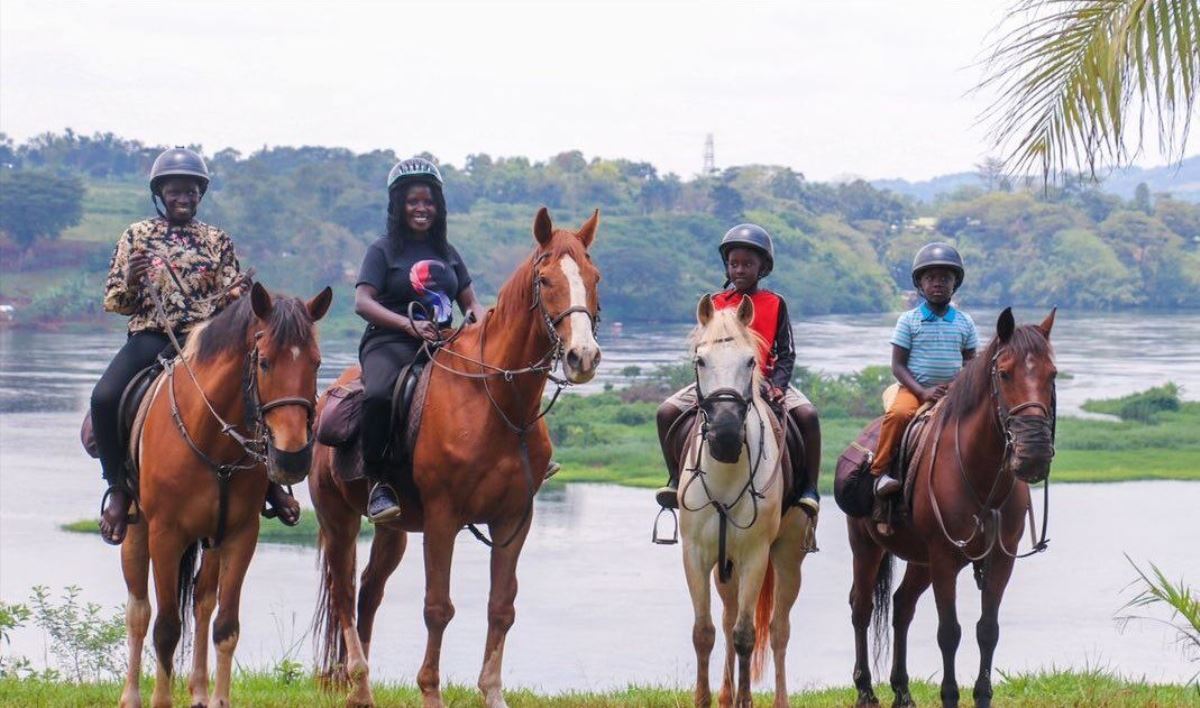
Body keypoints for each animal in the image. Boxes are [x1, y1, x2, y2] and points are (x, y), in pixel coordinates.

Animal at [118, 284, 333, 708]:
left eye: (316, 363)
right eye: (264, 362)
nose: (292, 456)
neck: (210, 440)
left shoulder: (240, 535)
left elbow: (225, 626)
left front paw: (217, 698)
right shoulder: (165, 535)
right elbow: (166, 627)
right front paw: (161, 700)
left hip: (212, 540)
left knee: (202, 604)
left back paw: (199, 691)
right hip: (138, 530)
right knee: (139, 610)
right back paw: (131, 696)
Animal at [312, 206, 600, 708]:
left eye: (594, 277)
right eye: (545, 280)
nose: (583, 357)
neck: (496, 403)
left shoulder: (513, 520)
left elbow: (501, 607)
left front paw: (493, 694)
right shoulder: (443, 518)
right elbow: (437, 608)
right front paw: (431, 692)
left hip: (393, 531)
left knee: (369, 591)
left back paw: (359, 688)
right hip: (338, 518)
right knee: (344, 592)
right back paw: (358, 680)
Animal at [676, 294, 816, 708]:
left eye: (751, 361)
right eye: (700, 361)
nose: (724, 435)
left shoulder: (756, 555)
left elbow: (746, 634)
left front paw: (746, 700)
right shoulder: (696, 554)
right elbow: (705, 632)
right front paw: (706, 699)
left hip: (786, 556)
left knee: (777, 627)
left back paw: (779, 700)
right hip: (727, 566)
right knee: (727, 618)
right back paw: (725, 695)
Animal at [849, 309, 1056, 708]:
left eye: (1052, 373)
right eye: (1004, 373)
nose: (1034, 453)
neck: (981, 476)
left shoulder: (1000, 559)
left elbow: (987, 630)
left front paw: (983, 696)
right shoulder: (945, 557)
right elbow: (949, 632)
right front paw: (950, 696)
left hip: (920, 560)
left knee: (902, 606)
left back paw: (902, 691)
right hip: (866, 548)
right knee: (861, 608)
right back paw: (866, 689)